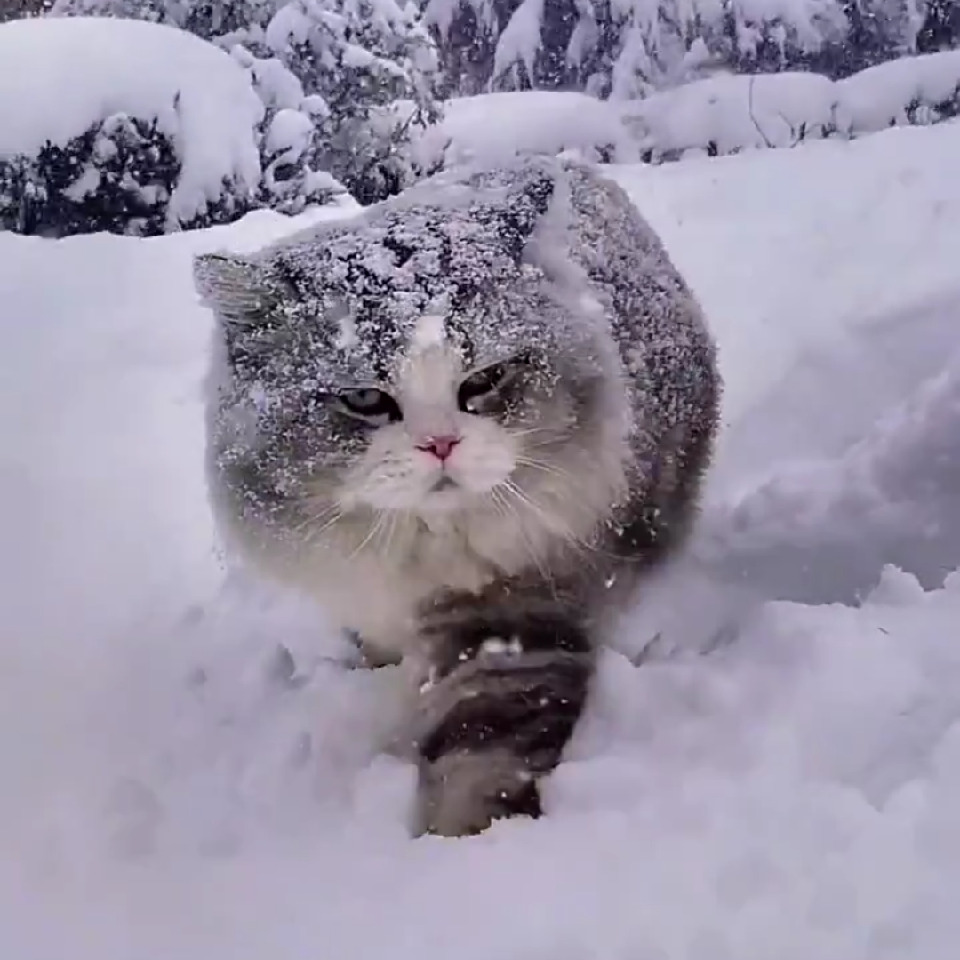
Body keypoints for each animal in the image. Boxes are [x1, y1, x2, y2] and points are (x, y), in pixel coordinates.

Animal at [193, 154, 720, 836]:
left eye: (485, 380)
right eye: (364, 399)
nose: (440, 444)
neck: (416, 554)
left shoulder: (513, 617)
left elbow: (480, 763)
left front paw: (462, 849)